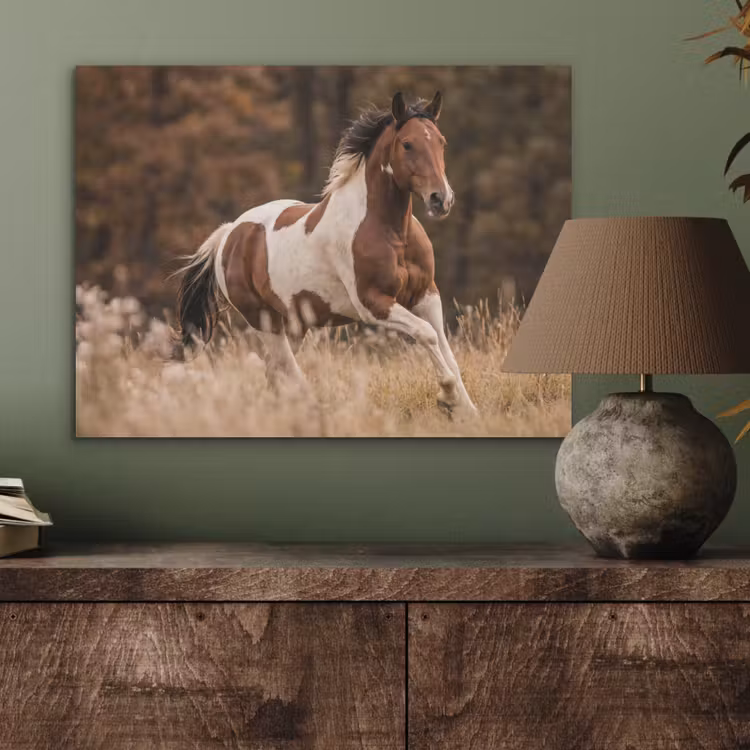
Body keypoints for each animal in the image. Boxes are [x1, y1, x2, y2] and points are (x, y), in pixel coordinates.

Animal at [175, 91, 477, 415]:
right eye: (407, 144)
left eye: (441, 141)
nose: (440, 199)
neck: (392, 232)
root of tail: (229, 233)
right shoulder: (373, 304)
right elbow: (426, 334)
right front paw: (447, 396)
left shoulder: (426, 295)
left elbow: (446, 350)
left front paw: (468, 410)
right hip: (264, 320)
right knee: (286, 370)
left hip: (295, 324)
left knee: (275, 372)